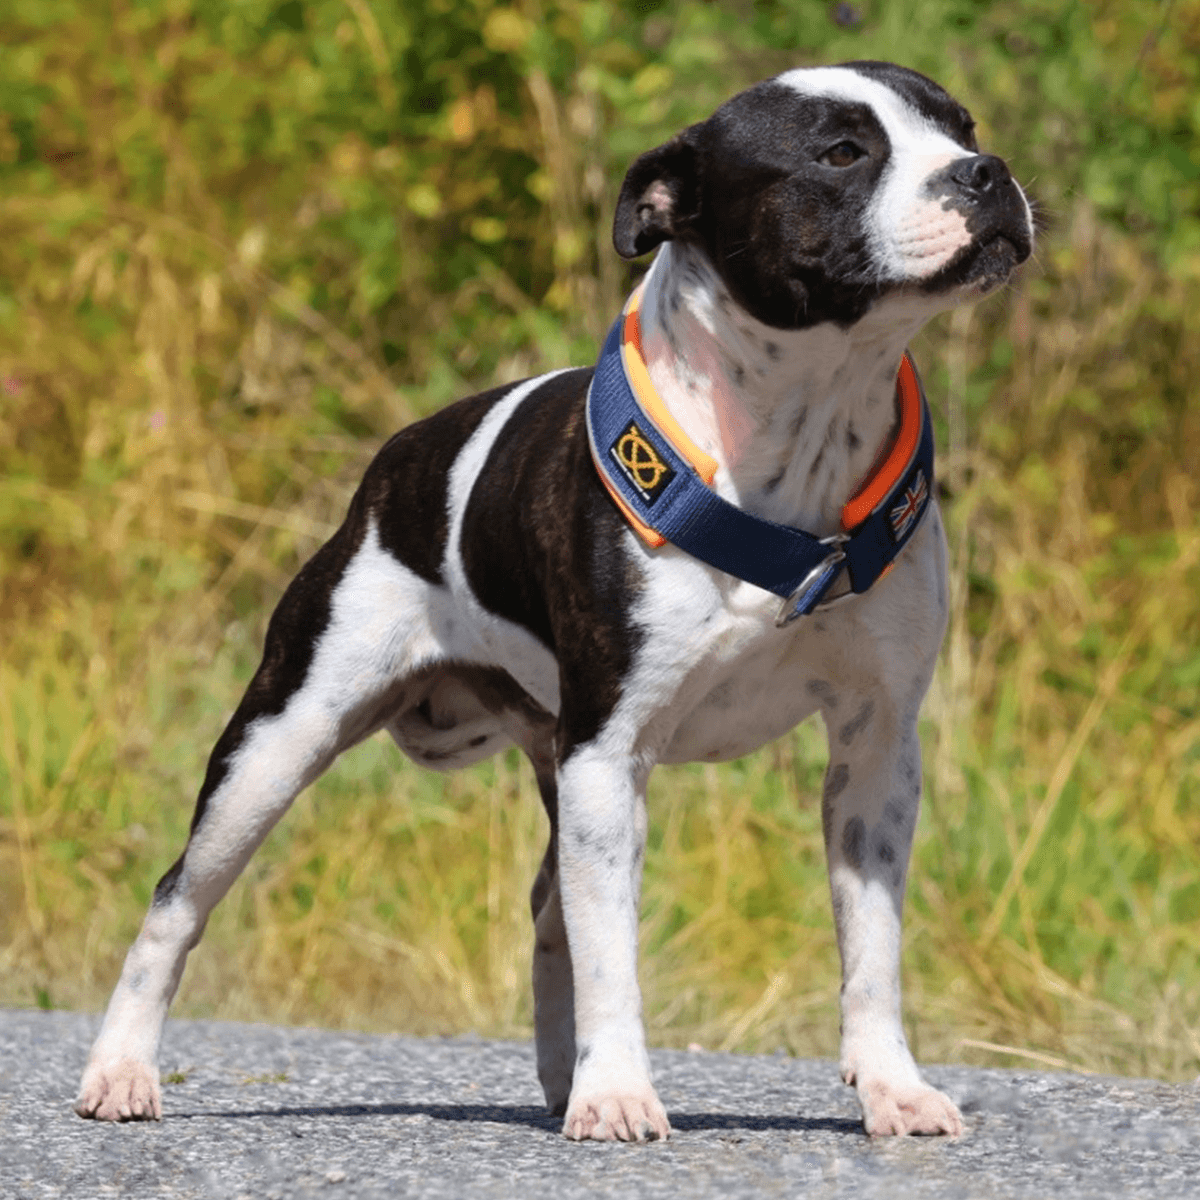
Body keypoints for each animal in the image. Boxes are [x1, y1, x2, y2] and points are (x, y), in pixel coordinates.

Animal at [75, 60, 1032, 1137]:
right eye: (840, 152)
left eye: (962, 128)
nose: (986, 173)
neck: (801, 427)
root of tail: (394, 462)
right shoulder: (610, 753)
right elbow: (613, 949)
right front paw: (617, 1091)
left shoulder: (874, 752)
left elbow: (870, 945)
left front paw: (890, 1086)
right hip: (280, 737)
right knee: (177, 899)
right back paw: (122, 1072)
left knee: (547, 905)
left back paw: (557, 1074)